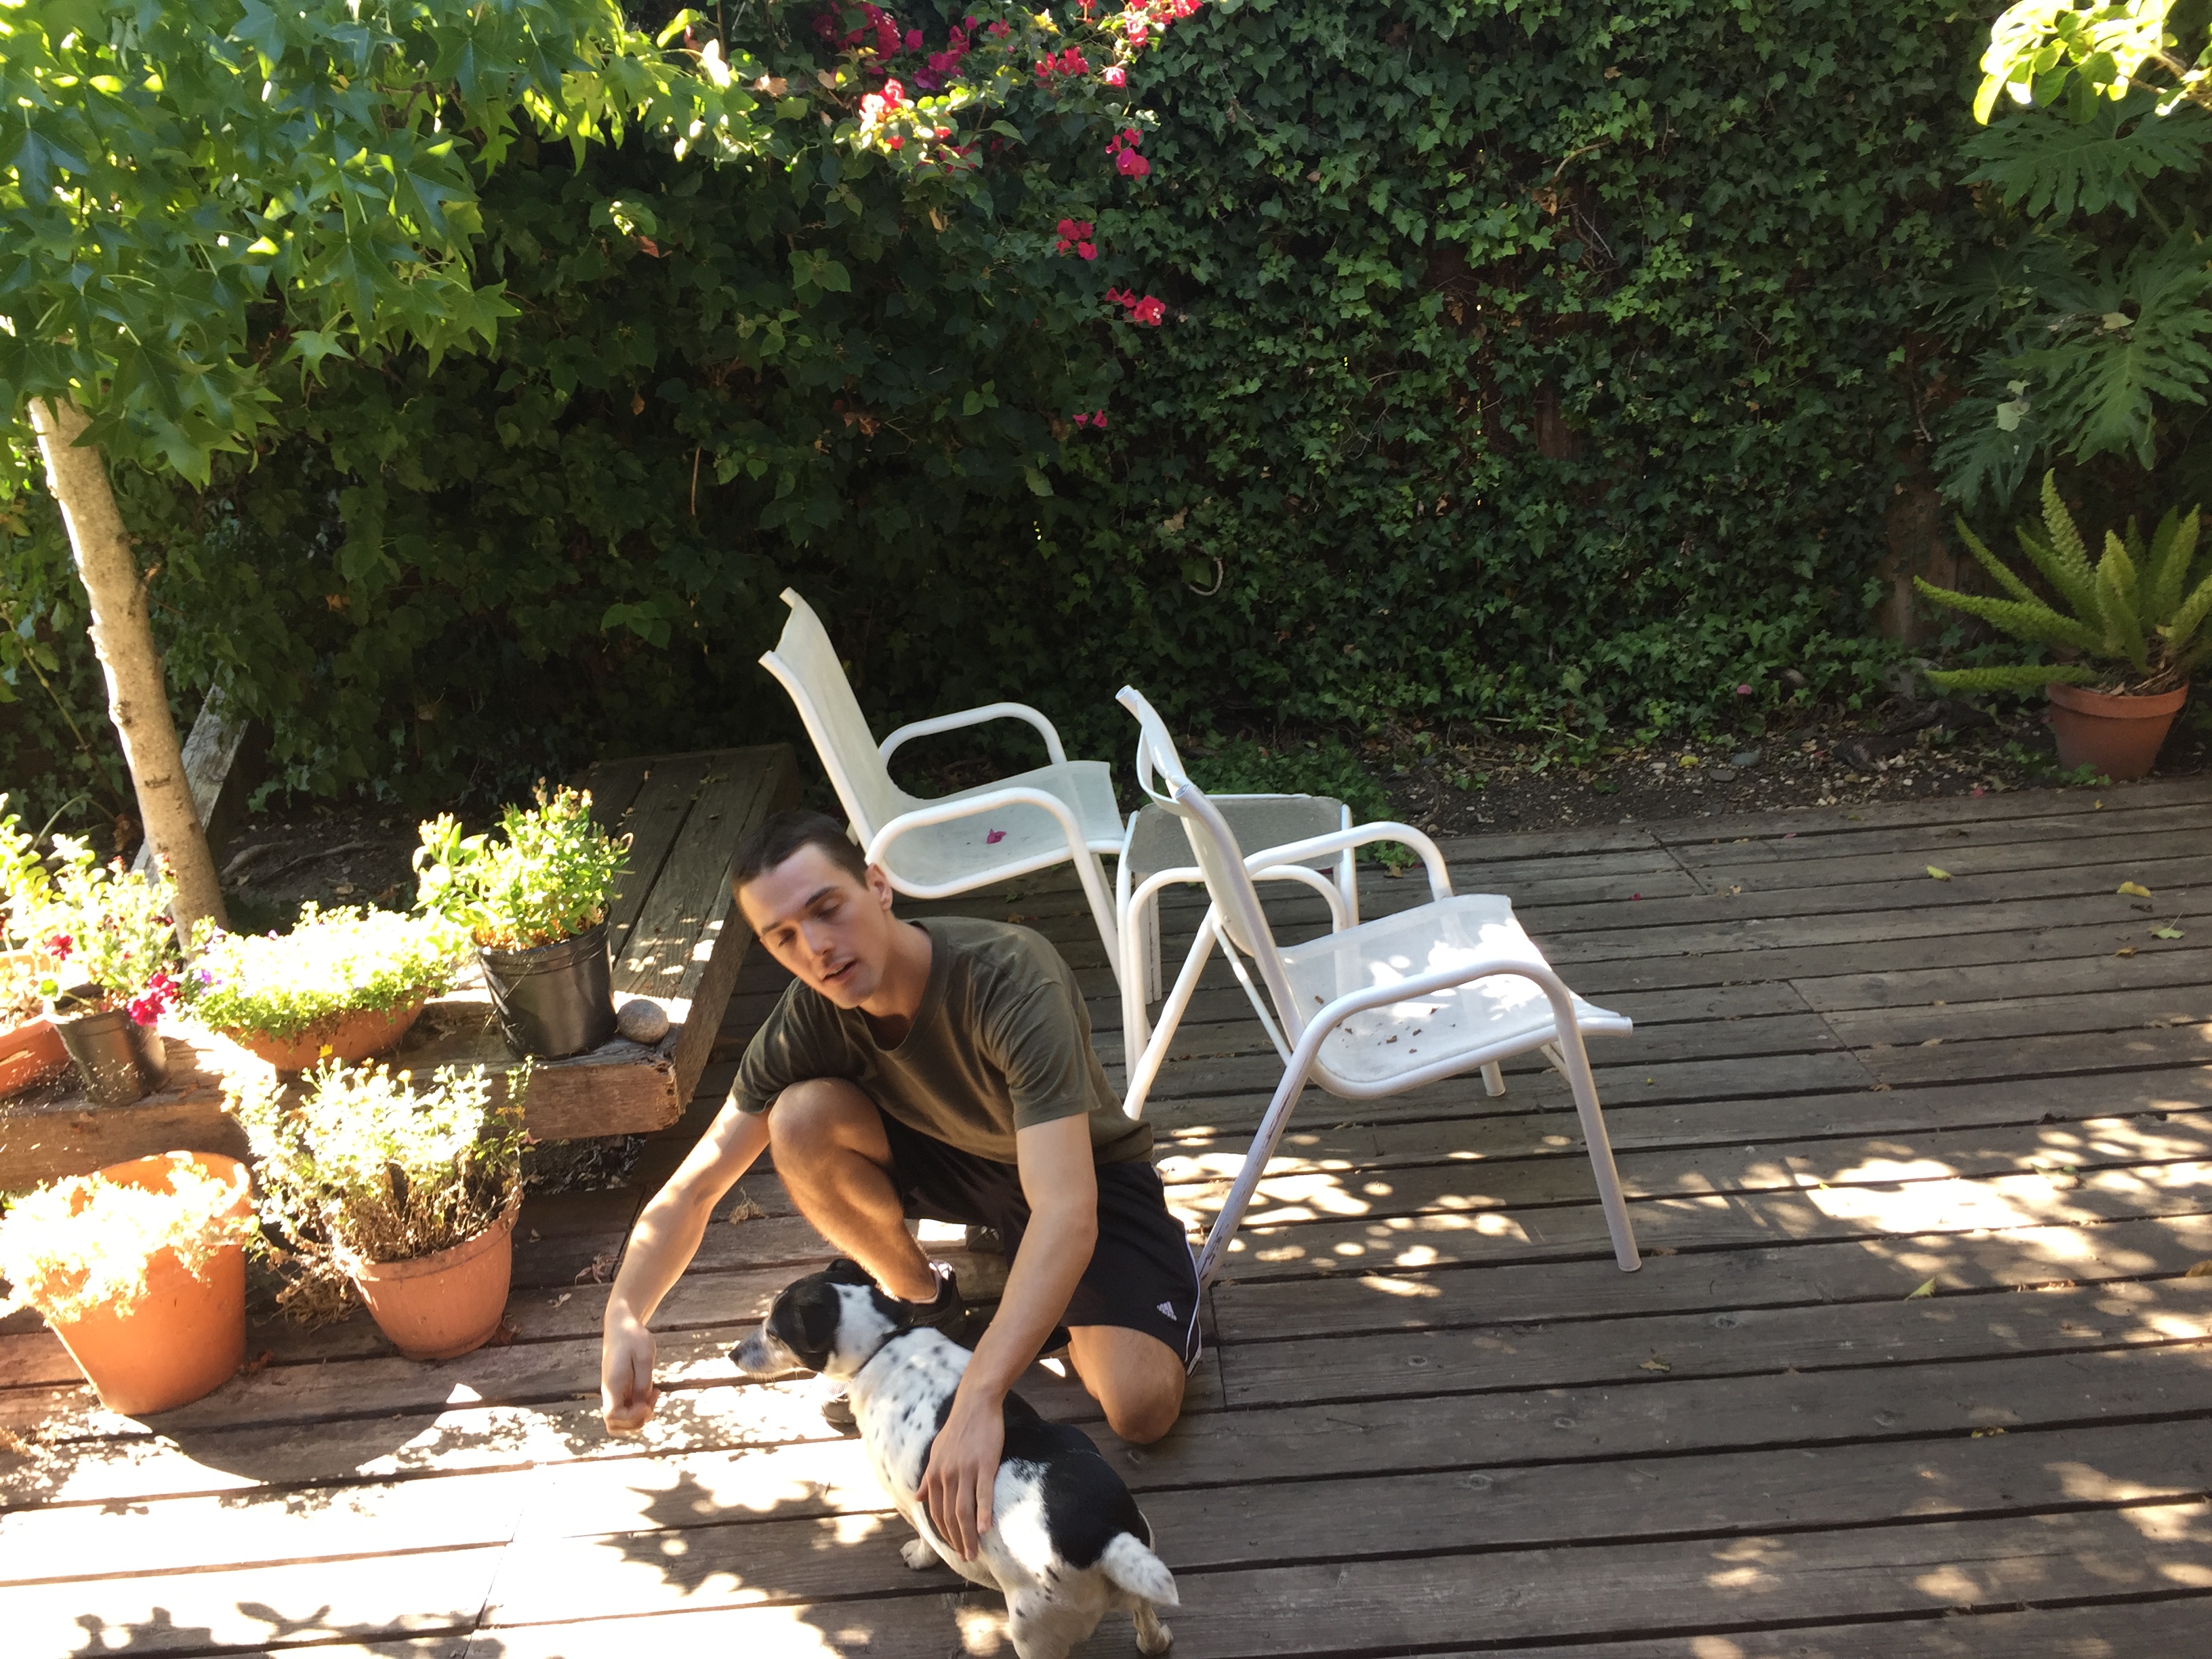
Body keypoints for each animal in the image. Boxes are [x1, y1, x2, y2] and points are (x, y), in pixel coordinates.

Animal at [733, 1260, 1178, 1659]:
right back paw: (1156, 1642)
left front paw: (917, 1556)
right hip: (1141, 1559)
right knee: (1146, 1618)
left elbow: (925, 1540)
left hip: (1033, 1634)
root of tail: (1104, 1539)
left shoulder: (909, 1501)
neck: (886, 1343)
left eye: (774, 1333)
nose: (733, 1354)